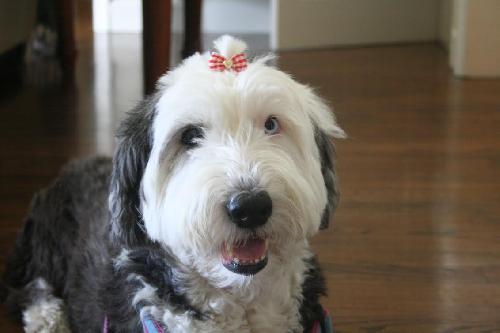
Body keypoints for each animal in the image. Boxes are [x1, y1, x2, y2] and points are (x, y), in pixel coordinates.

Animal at [0, 35, 344, 330]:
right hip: (44, 245)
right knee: (29, 286)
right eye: (189, 135)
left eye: (271, 125)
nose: (250, 207)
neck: (241, 305)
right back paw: (47, 318)